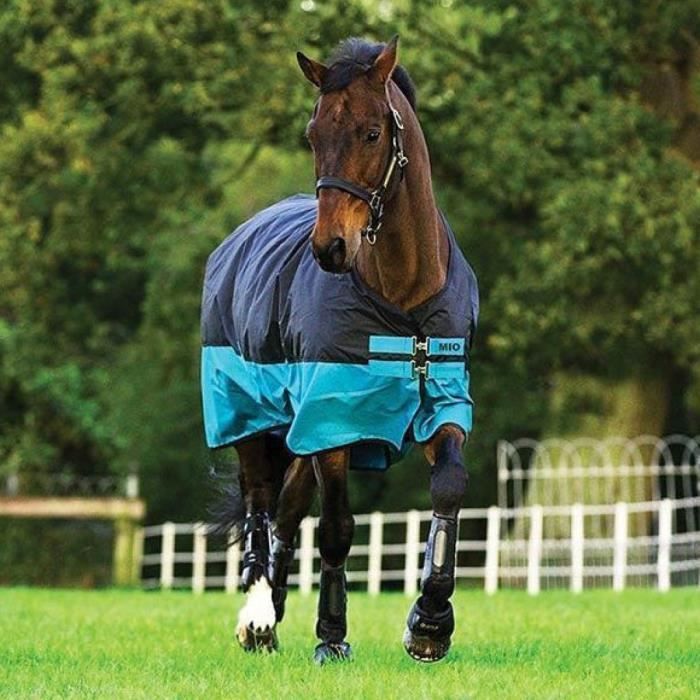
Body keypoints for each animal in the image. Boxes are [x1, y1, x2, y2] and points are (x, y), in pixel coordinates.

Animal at [201, 36, 479, 664]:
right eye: (313, 134)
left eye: (373, 132)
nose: (329, 247)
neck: (402, 295)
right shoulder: (334, 420)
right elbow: (337, 528)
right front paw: (331, 636)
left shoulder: (442, 402)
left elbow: (449, 488)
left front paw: (430, 623)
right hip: (252, 417)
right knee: (260, 504)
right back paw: (258, 617)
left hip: (298, 434)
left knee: (285, 511)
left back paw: (275, 609)